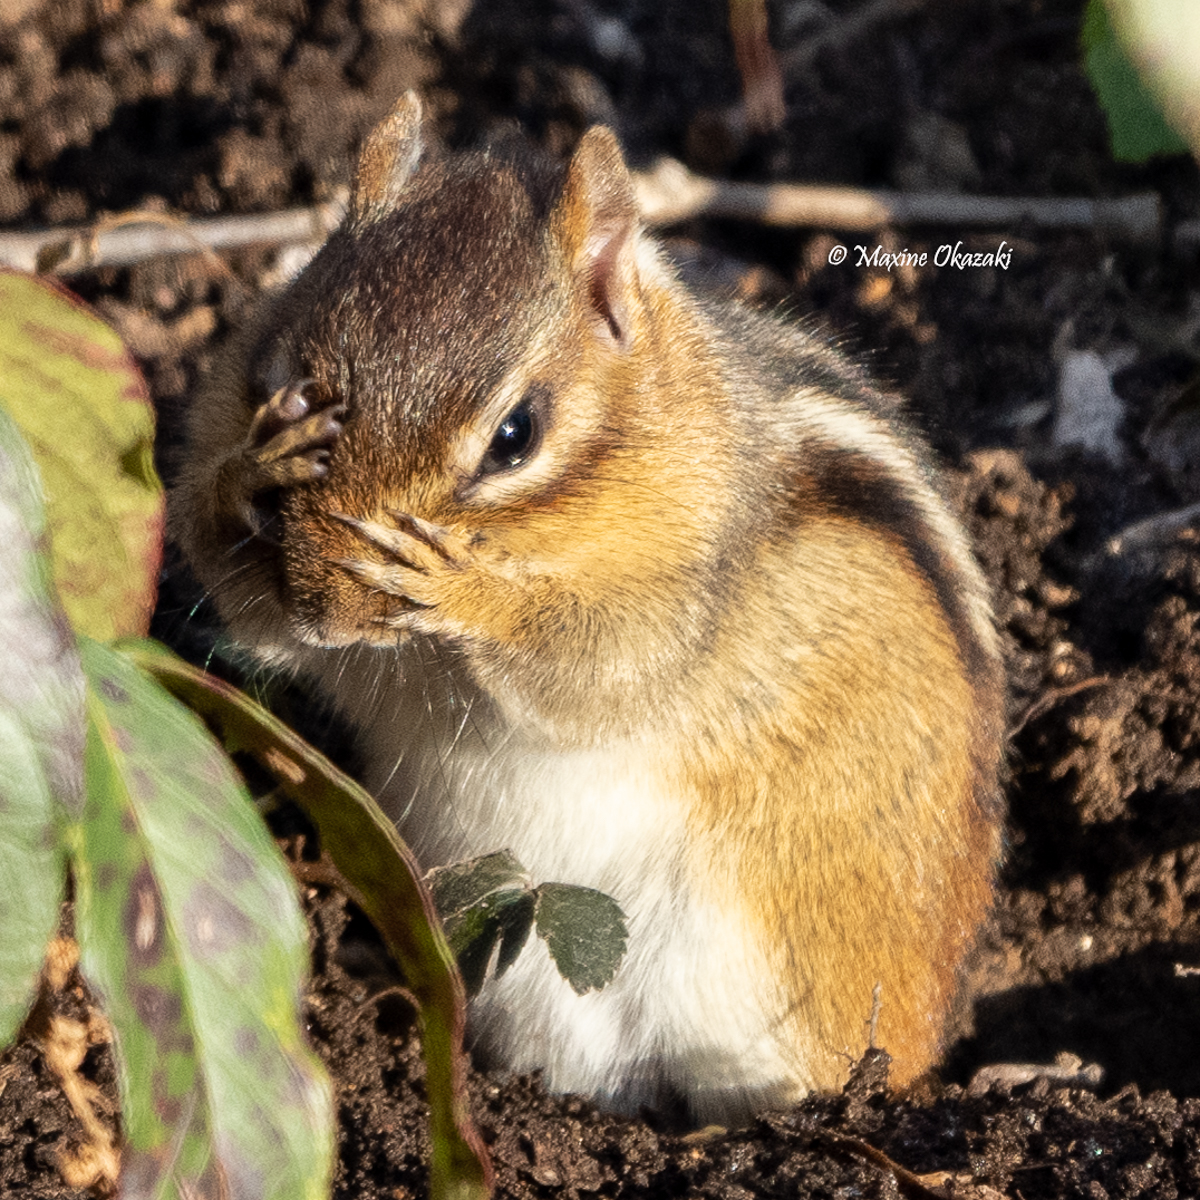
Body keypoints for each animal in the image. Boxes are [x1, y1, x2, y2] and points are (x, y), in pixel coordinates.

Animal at [172, 93, 1006, 1127]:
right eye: (282, 376)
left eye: (515, 437)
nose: (326, 609)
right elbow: (241, 597)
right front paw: (253, 470)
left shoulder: (674, 606)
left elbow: (587, 669)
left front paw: (463, 585)